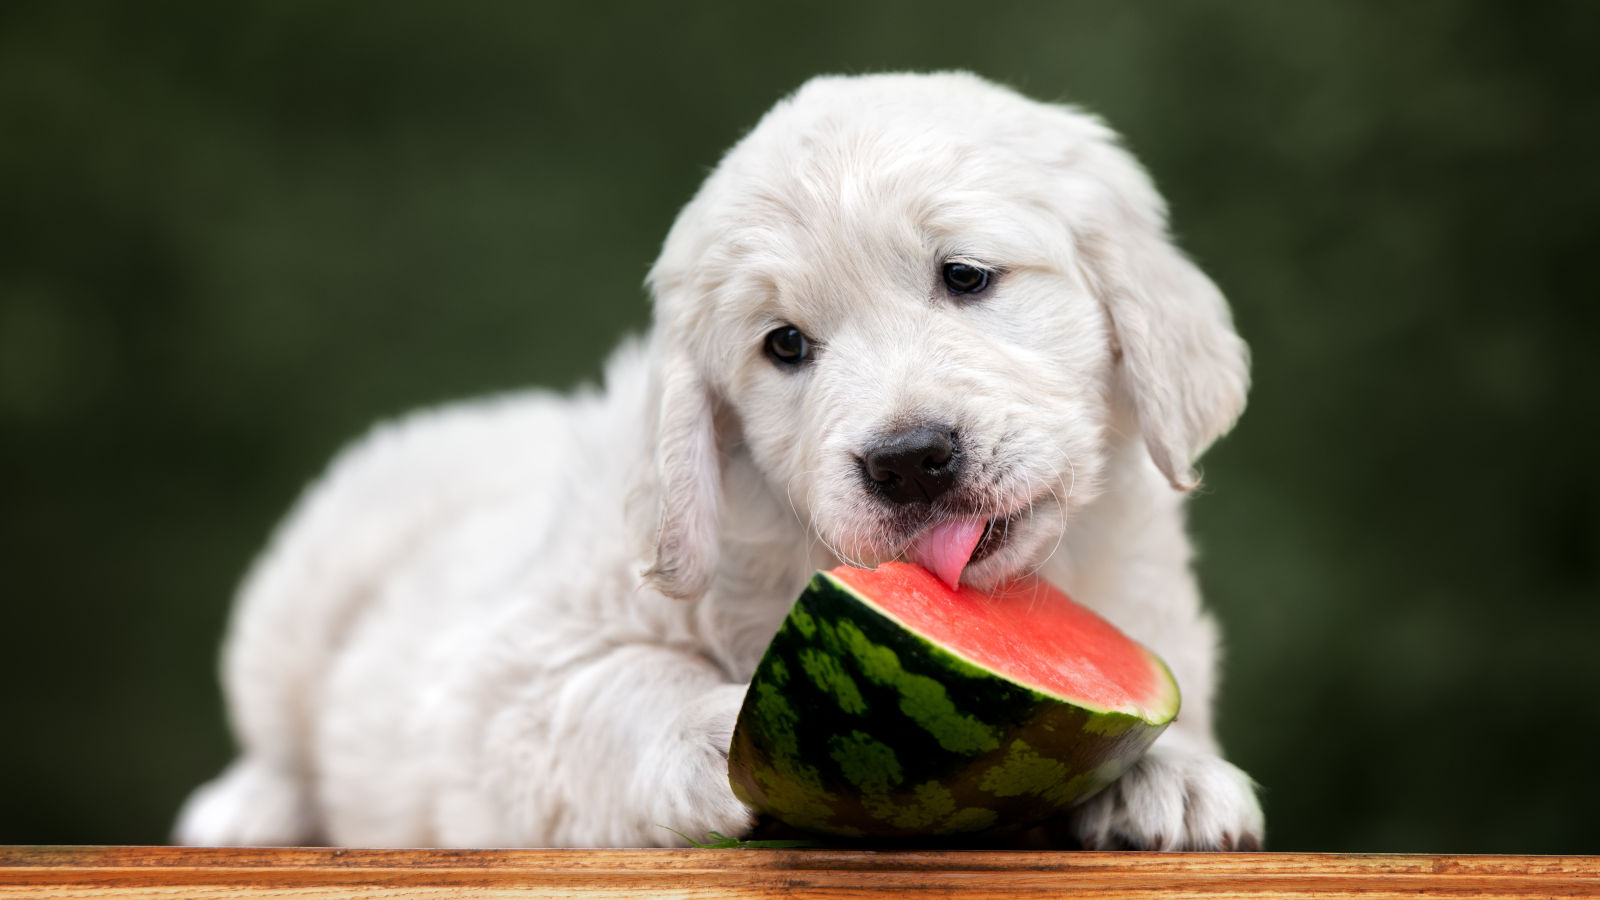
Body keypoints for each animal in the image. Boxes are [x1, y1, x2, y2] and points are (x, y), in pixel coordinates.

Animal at [178, 71, 1260, 845]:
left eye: (965, 276)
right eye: (784, 345)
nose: (909, 461)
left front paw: (1176, 777)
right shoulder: (515, 679)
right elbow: (619, 690)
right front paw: (716, 727)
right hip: (304, 584)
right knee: (275, 737)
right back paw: (246, 810)